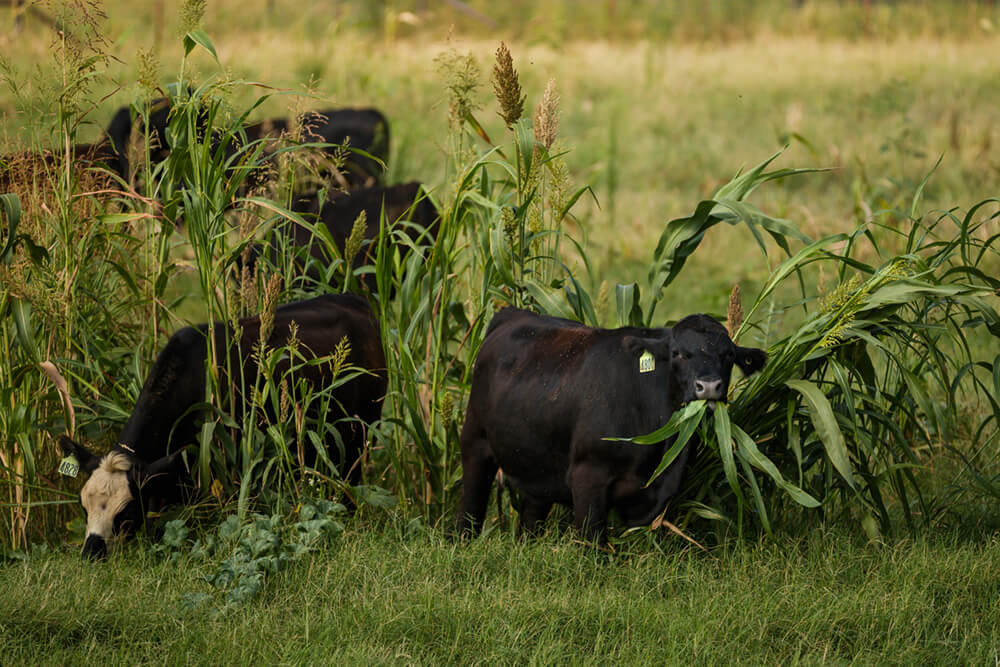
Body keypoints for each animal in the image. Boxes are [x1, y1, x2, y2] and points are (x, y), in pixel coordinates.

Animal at [458, 310, 768, 544]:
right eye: (679, 353)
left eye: (728, 355)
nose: (709, 386)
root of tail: (513, 313)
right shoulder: (588, 475)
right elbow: (592, 542)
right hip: (475, 442)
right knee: (471, 504)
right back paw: (463, 540)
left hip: (537, 465)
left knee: (531, 516)